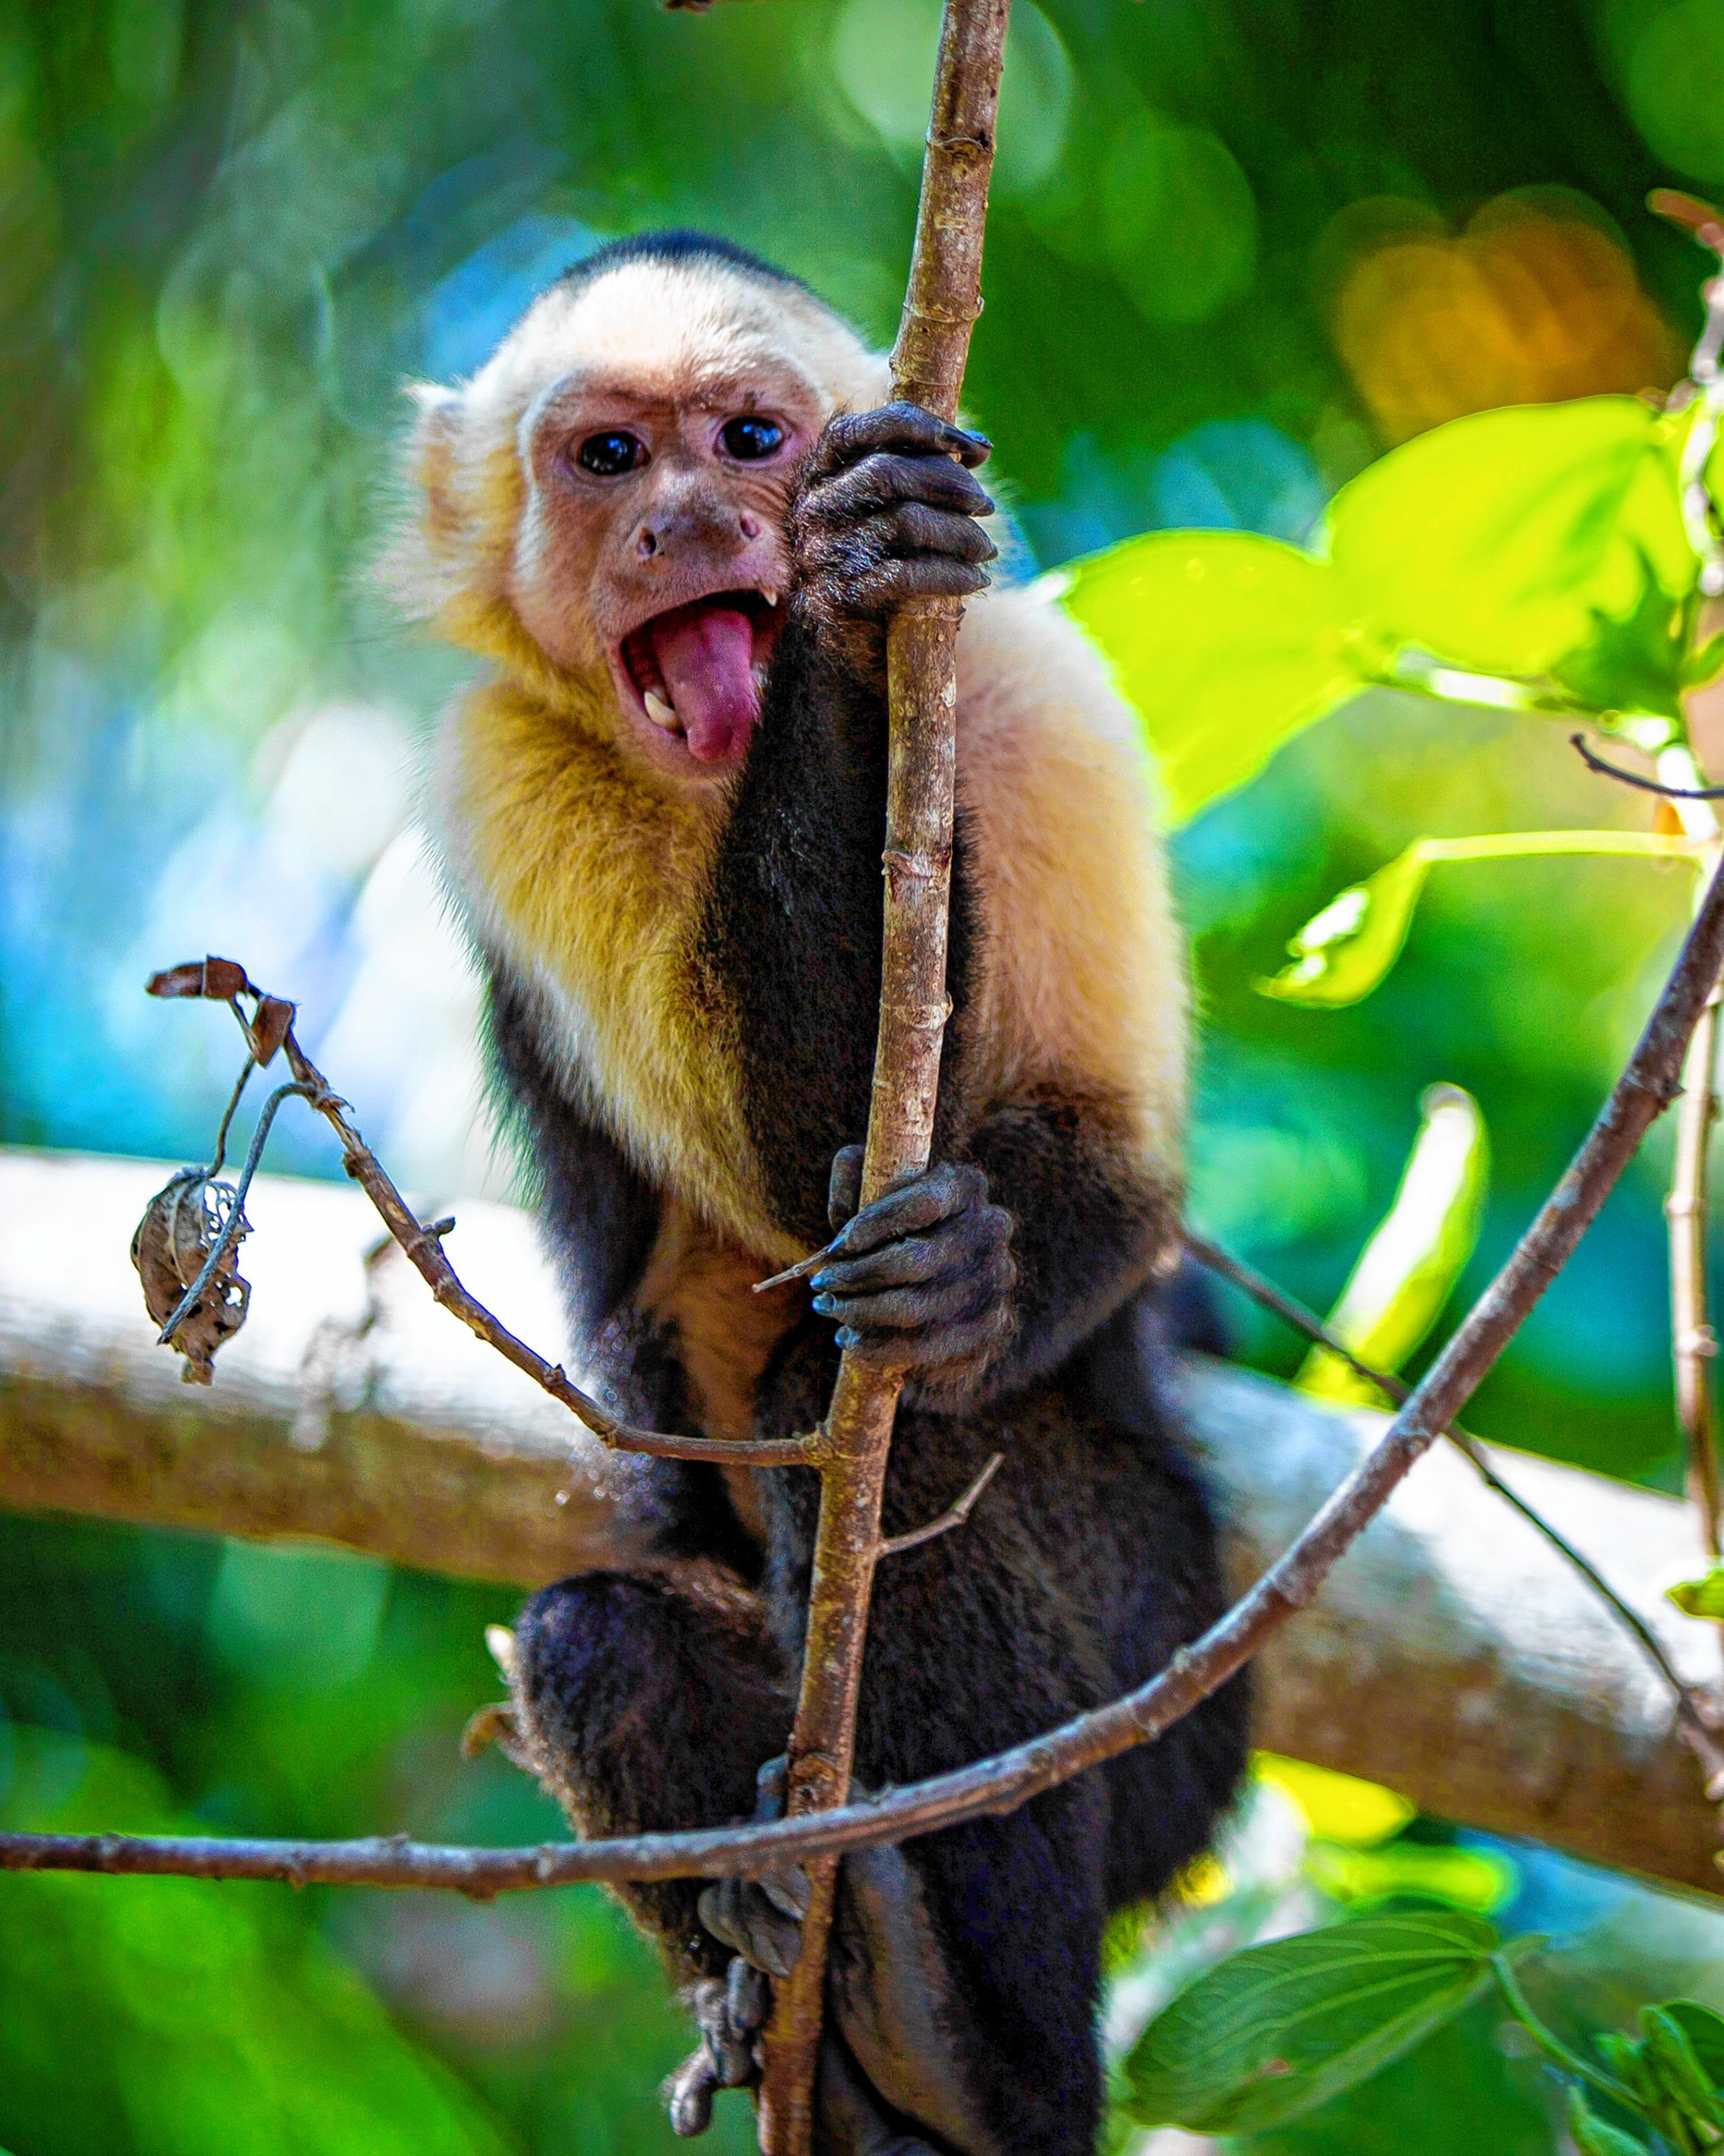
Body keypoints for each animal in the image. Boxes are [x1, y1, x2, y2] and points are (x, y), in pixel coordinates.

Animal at [389, 227, 1250, 2147]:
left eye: (750, 437)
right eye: (609, 458)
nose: (694, 522)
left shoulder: (1037, 685)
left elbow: (1109, 1170)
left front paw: (970, 1277)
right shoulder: (496, 775)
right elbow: (782, 1140)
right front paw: (849, 610)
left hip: (1176, 1689)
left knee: (894, 1427)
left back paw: (980, 2052)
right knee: (596, 1638)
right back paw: (794, 1981)